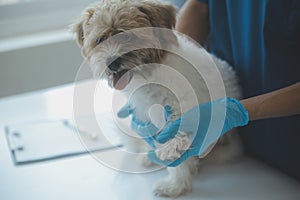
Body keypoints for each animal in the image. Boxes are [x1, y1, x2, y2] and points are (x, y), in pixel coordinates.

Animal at [73, 0, 244, 197]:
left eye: (129, 37)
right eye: (100, 40)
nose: (112, 63)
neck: (149, 75)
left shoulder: (180, 112)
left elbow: (178, 153)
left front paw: (176, 185)